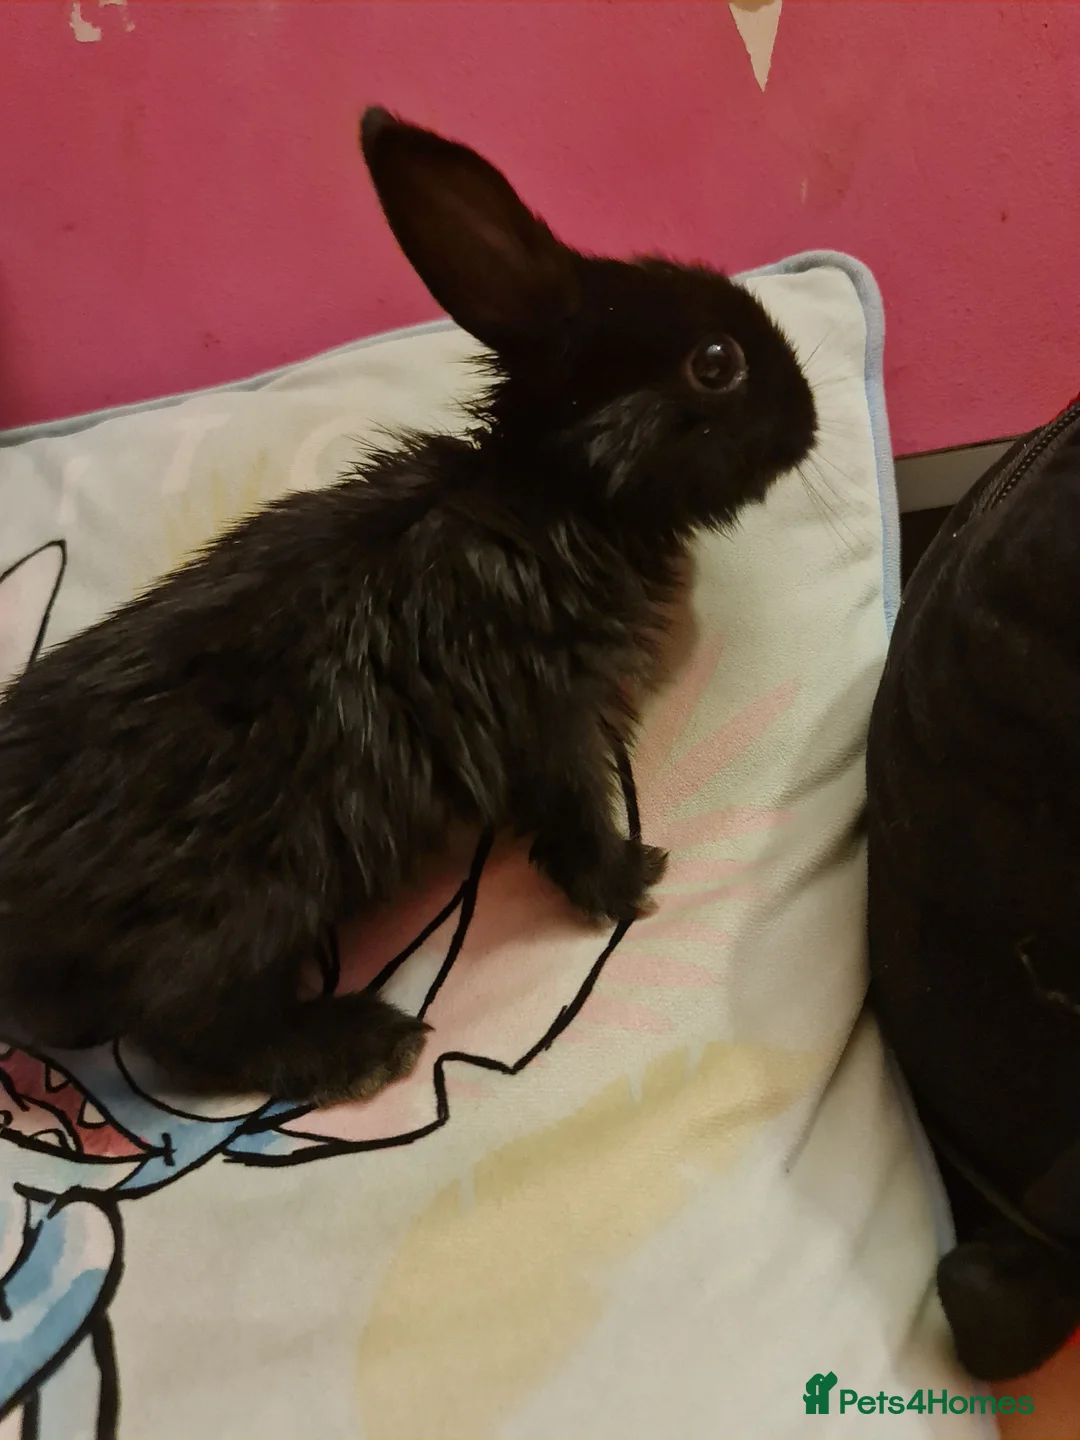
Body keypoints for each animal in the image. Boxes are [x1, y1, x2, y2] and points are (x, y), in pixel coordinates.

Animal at [0, 109, 817, 1105]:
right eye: (716, 362)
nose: (811, 416)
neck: (559, 492)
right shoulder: (546, 722)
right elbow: (571, 816)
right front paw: (631, 881)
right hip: (234, 911)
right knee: (185, 1037)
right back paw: (362, 1042)